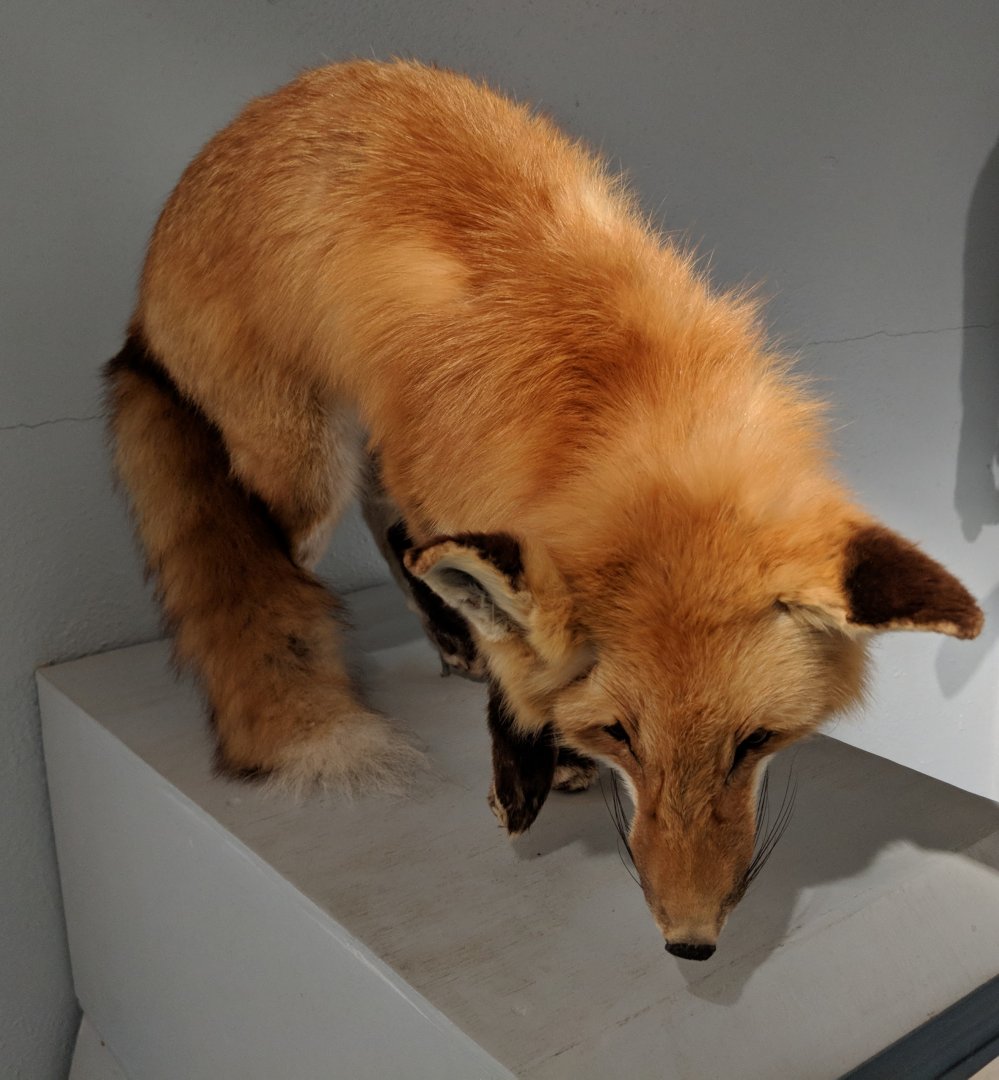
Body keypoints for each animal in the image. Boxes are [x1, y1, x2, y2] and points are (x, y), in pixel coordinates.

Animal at [105, 59, 983, 959]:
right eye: (620, 735)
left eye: (756, 742)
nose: (691, 941)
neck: (624, 402)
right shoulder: (463, 479)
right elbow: (508, 637)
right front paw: (523, 759)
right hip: (306, 471)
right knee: (297, 563)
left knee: (391, 526)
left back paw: (448, 637)